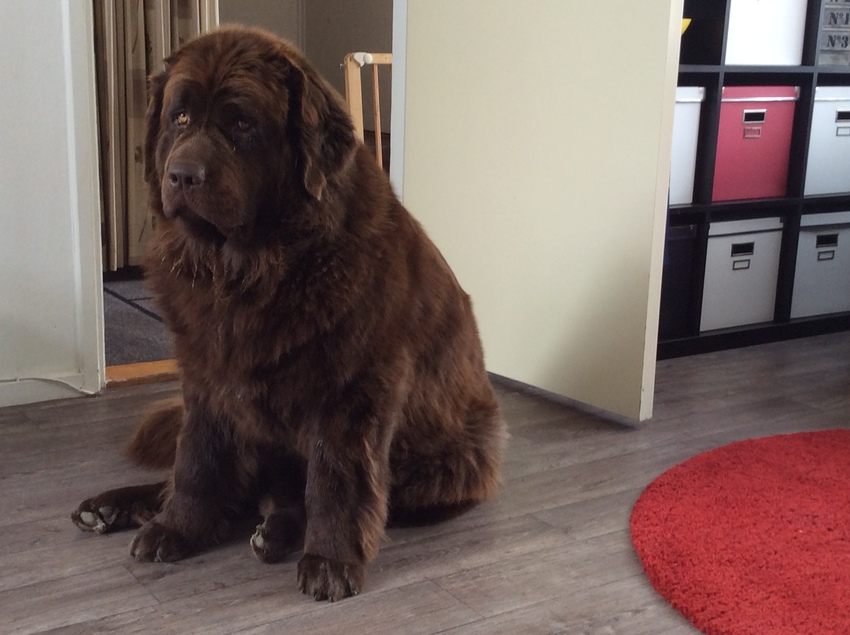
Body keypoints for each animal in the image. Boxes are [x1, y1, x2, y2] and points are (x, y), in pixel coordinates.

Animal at [72, 26, 506, 602]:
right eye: (180, 118)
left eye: (242, 124)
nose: (182, 175)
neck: (249, 272)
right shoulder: (208, 381)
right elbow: (196, 461)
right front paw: (178, 526)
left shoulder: (352, 391)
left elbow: (337, 479)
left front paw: (330, 561)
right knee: (239, 488)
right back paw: (111, 508)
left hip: (447, 462)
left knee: (304, 496)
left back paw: (275, 533)